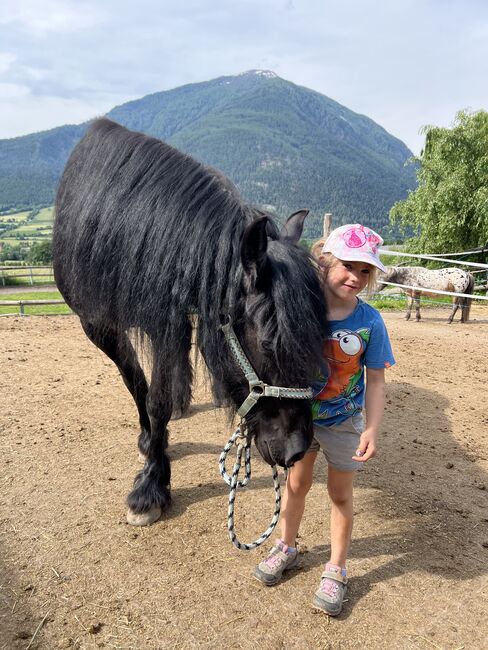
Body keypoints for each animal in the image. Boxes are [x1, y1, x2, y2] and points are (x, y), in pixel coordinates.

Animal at [52, 119, 328, 528]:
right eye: (267, 345)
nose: (296, 451)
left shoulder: (172, 317)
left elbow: (160, 393)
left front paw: (154, 470)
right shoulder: (99, 323)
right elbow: (142, 388)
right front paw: (150, 478)